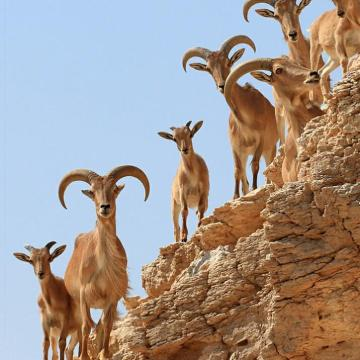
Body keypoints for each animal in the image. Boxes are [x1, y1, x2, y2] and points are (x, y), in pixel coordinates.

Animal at [58, 167, 150, 360]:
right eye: (93, 192)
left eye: (114, 189)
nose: (105, 207)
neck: (102, 263)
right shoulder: (84, 296)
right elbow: (86, 326)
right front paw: (84, 356)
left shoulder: (112, 297)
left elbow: (107, 324)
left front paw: (105, 353)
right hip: (75, 304)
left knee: (99, 326)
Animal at [183, 35, 278, 198]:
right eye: (208, 68)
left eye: (228, 62)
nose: (222, 85)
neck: (246, 119)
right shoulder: (235, 146)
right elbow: (237, 170)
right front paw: (235, 196)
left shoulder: (261, 140)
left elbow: (255, 165)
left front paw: (254, 188)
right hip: (245, 153)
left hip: (270, 148)